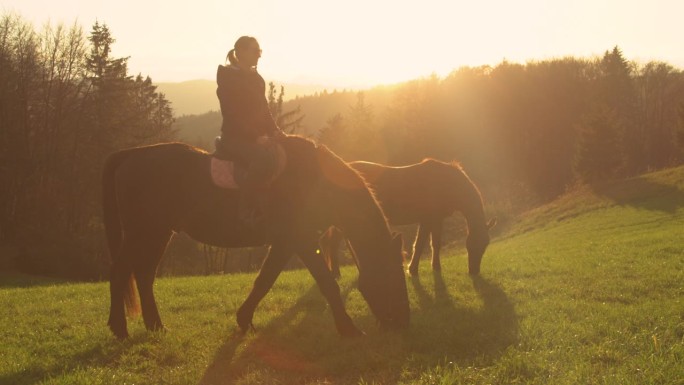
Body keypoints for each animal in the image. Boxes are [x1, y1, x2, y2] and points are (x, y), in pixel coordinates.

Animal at [104, 136, 408, 340]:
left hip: (158, 233)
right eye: (392, 275)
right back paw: (120, 329)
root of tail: (132, 155)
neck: (315, 181)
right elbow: (327, 284)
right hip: (141, 233)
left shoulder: (286, 244)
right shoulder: (302, 242)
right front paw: (348, 329)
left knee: (144, 276)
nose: (401, 322)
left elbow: (264, 281)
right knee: (120, 273)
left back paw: (156, 326)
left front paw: (244, 319)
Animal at [320, 158, 492, 276]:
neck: (445, 183)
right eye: (473, 245)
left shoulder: (436, 219)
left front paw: (434, 267)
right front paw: (414, 269)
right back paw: (336, 273)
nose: (474, 271)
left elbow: (434, 244)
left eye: (485, 246)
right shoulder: (428, 219)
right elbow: (421, 244)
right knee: (332, 243)